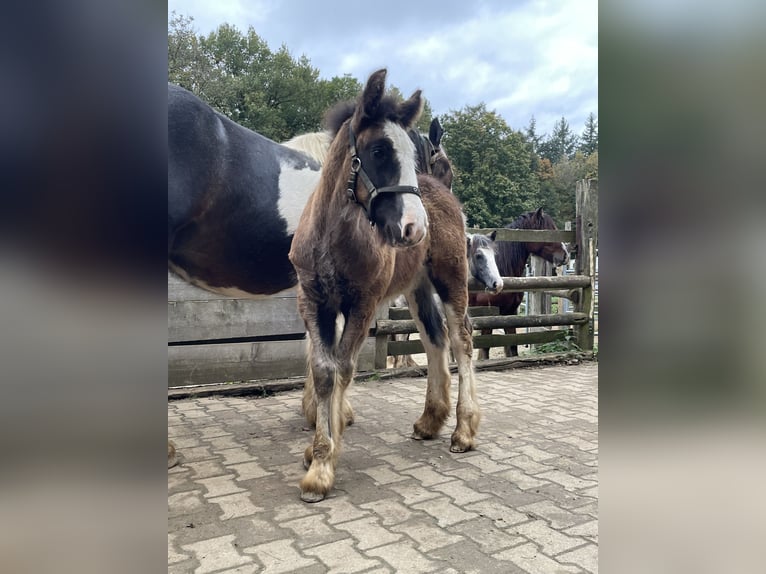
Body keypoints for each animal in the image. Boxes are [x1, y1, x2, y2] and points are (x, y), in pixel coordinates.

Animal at [290, 70, 480, 504]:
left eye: (413, 153)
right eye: (378, 150)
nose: (414, 227)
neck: (332, 237)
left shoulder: (362, 304)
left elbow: (343, 370)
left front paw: (325, 463)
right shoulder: (314, 301)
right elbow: (323, 370)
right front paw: (316, 453)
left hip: (450, 280)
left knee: (461, 339)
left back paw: (463, 431)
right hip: (417, 288)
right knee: (434, 338)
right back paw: (430, 420)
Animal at [468, 207, 568, 360]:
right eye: (549, 231)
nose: (566, 255)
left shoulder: (510, 313)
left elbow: (512, 347)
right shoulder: (487, 316)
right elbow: (485, 350)